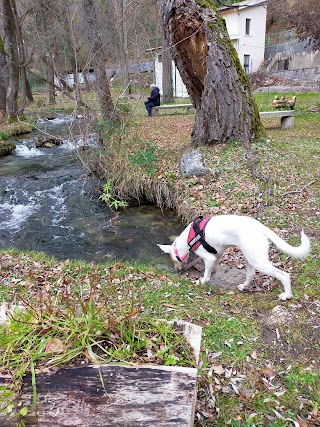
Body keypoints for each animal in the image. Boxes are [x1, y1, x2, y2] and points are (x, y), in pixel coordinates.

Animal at [158, 214, 310, 300]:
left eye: (174, 260)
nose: (178, 271)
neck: (187, 240)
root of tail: (260, 226)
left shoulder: (208, 257)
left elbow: (206, 274)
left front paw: (202, 281)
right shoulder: (217, 254)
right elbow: (213, 266)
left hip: (257, 260)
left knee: (284, 275)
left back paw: (287, 295)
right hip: (249, 257)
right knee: (250, 274)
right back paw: (243, 286)